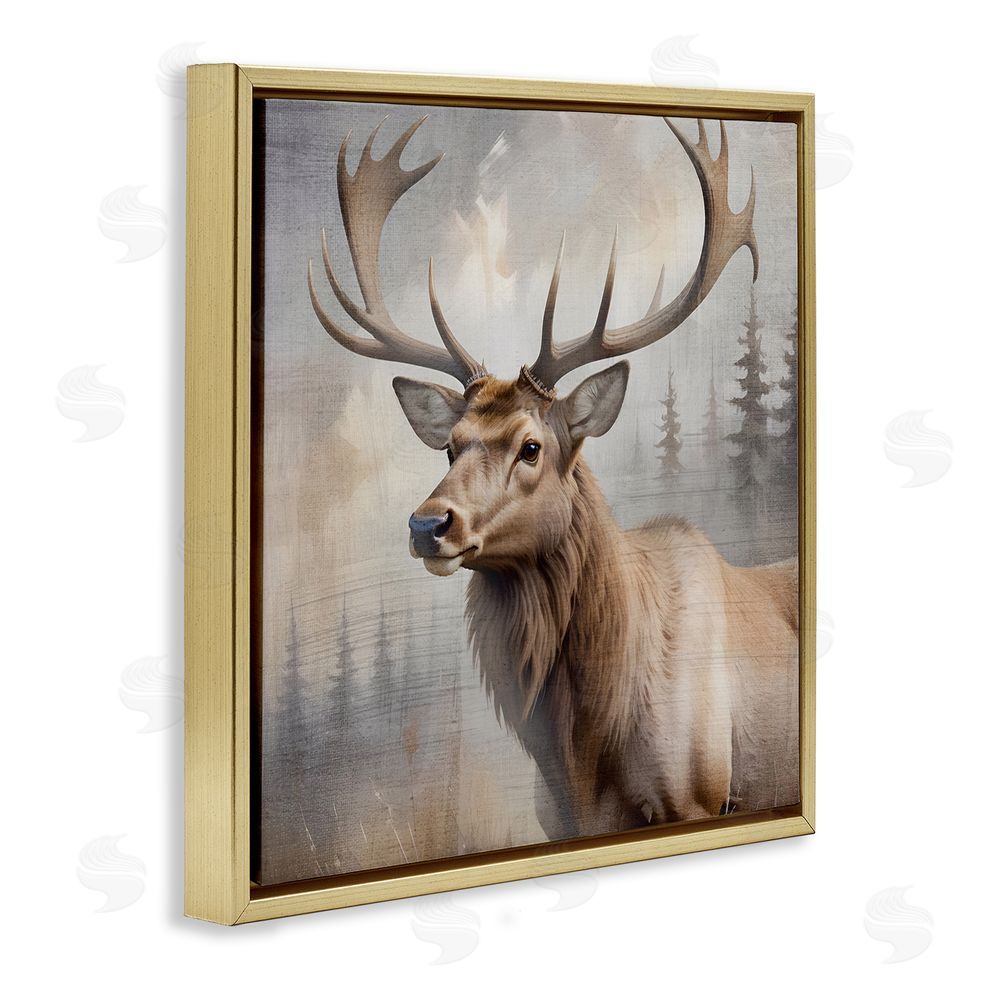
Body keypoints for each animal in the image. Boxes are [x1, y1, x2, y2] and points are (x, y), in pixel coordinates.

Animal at [308, 115, 799, 840]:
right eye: (449, 447)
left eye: (531, 446)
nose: (428, 523)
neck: (585, 750)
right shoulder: (559, 820)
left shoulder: (700, 795)